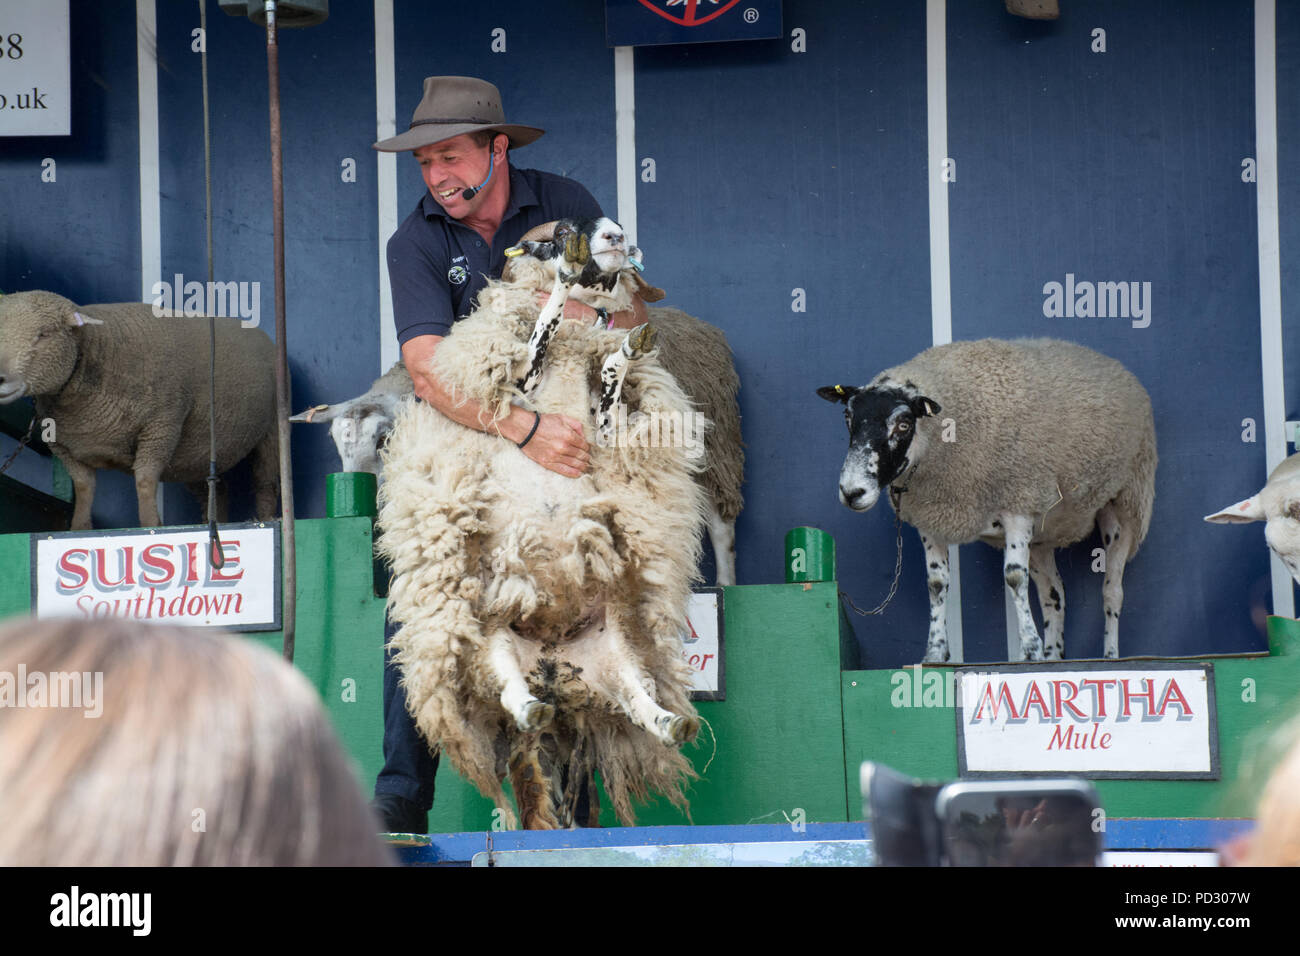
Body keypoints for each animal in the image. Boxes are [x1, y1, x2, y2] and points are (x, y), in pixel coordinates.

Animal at [0, 290, 278, 531]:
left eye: (43, 334)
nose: (1, 378)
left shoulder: (161, 426)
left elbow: (145, 480)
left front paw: (151, 526)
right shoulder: (63, 446)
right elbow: (84, 488)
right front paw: (79, 528)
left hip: (270, 431)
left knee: (265, 483)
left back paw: (267, 519)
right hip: (194, 452)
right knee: (217, 489)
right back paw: (213, 522)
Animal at [818, 337, 1157, 663]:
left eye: (903, 424)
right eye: (848, 417)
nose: (852, 492)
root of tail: (1117, 366)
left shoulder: (1018, 504)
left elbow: (1014, 577)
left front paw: (1029, 649)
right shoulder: (930, 519)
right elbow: (936, 583)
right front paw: (935, 652)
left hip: (1127, 501)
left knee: (1112, 591)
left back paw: (1109, 656)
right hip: (1042, 534)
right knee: (1054, 595)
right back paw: (1052, 656)